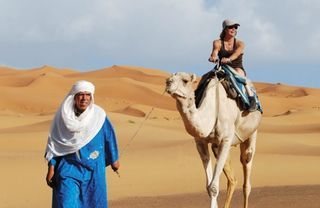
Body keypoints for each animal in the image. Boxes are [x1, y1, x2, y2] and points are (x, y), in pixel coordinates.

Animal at [166, 70, 262, 208]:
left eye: (185, 80)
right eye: (169, 78)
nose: (168, 83)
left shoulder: (226, 139)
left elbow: (213, 187)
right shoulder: (201, 143)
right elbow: (208, 187)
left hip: (252, 132)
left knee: (246, 174)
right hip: (217, 147)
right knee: (232, 180)